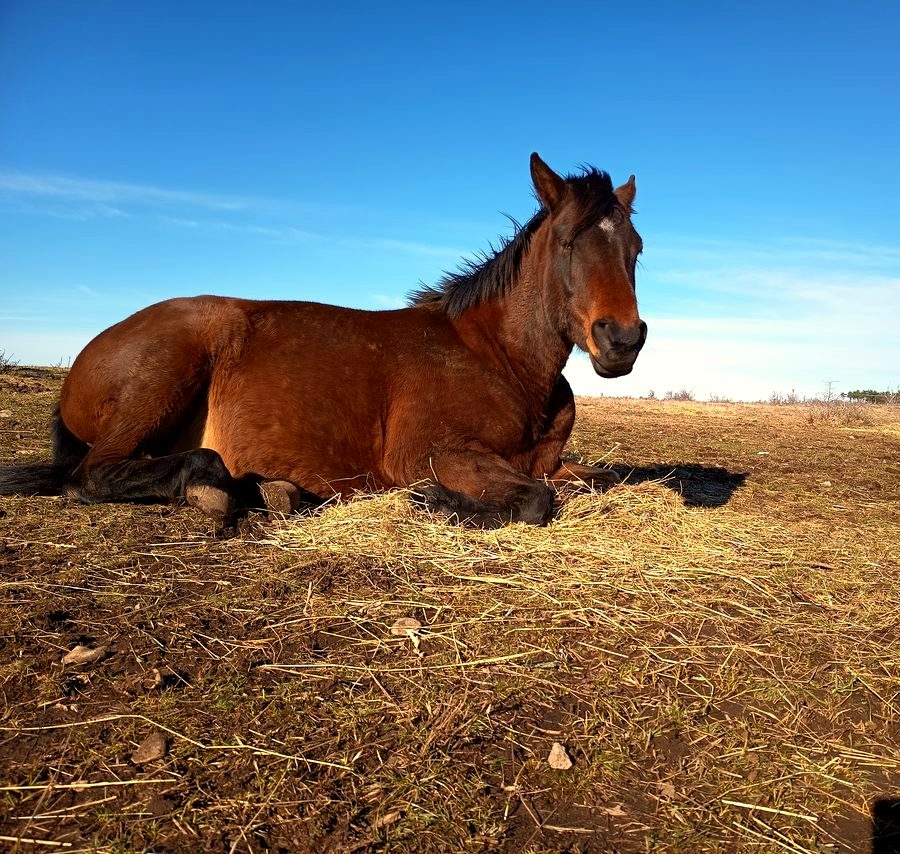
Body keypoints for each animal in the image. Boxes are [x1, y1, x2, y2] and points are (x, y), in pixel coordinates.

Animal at [0, 154, 647, 528]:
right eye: (566, 242)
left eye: (635, 249)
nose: (622, 340)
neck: (504, 362)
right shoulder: (433, 453)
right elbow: (536, 500)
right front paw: (437, 502)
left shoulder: (552, 462)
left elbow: (598, 478)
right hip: (165, 377)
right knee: (91, 476)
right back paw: (215, 489)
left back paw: (272, 490)